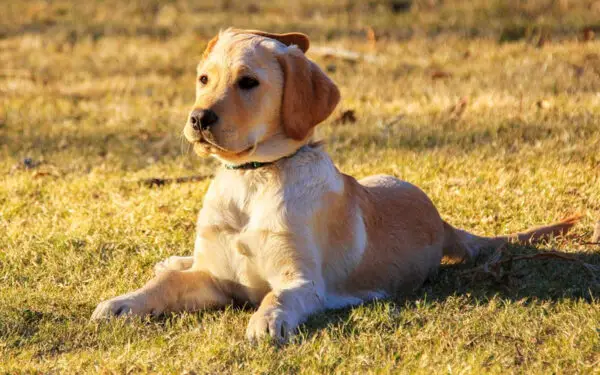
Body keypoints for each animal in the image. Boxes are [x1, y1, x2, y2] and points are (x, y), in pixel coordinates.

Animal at [91, 28, 580, 344]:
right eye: (203, 79)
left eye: (248, 82)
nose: (198, 118)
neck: (253, 178)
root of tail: (442, 222)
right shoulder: (214, 277)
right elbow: (168, 284)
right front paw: (124, 302)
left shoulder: (303, 281)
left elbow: (277, 296)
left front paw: (267, 321)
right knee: (177, 264)